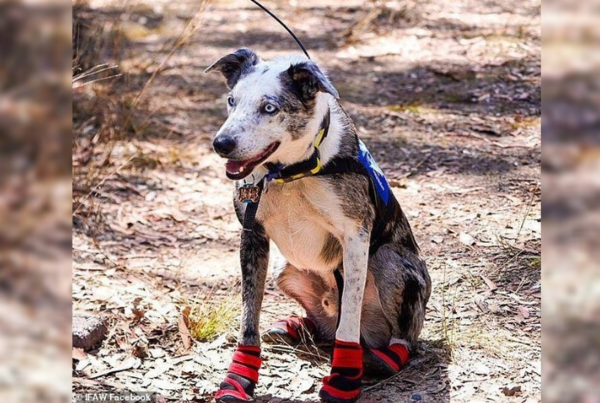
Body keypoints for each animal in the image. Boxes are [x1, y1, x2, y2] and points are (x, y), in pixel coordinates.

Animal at [206, 48, 432, 403]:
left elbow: (348, 317)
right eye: (231, 100)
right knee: (324, 324)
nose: (221, 144)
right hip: (284, 269)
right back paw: (295, 326)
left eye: (269, 108)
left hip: (391, 265)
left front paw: (343, 378)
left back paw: (382, 358)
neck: (290, 172)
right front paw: (238, 378)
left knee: (400, 337)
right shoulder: (252, 235)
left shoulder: (356, 237)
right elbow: (248, 316)